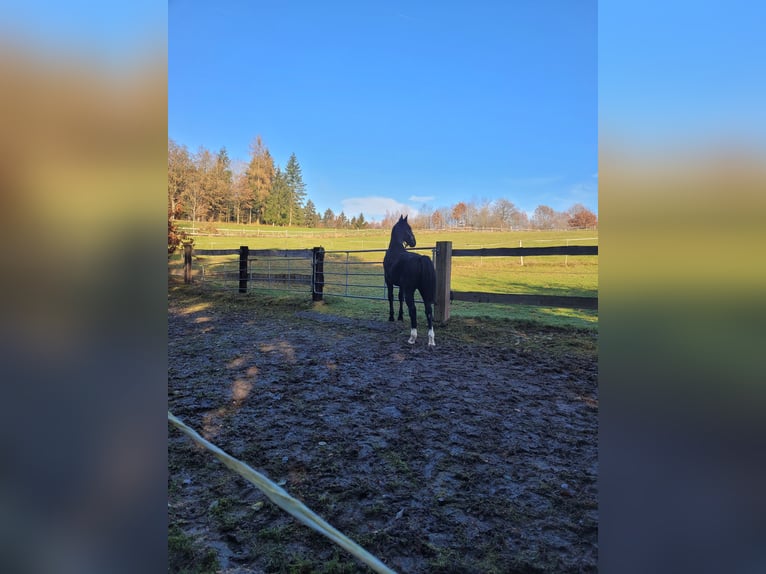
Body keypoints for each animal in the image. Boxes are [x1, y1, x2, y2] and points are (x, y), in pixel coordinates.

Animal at [384, 216, 438, 348]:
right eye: (408, 228)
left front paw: (391, 316)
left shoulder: (388, 281)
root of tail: (421, 258)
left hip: (410, 291)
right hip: (424, 291)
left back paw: (412, 337)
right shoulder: (401, 286)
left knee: (413, 309)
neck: (395, 248)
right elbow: (400, 298)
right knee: (428, 310)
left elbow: (391, 297)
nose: (414, 242)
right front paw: (400, 316)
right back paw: (431, 340)